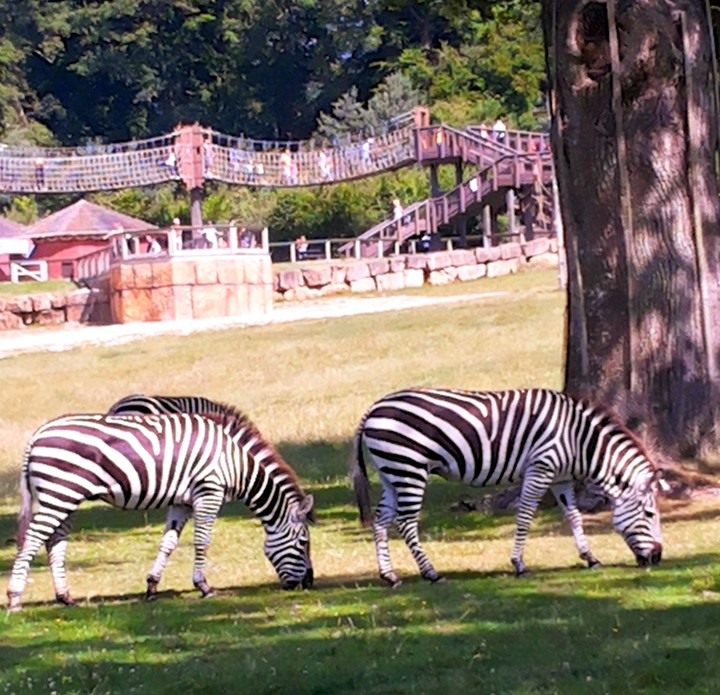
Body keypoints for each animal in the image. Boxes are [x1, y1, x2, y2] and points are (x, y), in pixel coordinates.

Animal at [7, 405, 314, 611]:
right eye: (303, 542)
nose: (308, 584)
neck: (235, 462)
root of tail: (37, 434)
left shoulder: (182, 501)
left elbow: (168, 543)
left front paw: (152, 585)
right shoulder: (209, 491)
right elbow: (202, 541)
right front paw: (203, 585)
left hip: (65, 497)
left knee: (55, 542)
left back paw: (65, 597)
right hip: (60, 493)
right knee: (32, 540)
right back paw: (14, 597)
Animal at [350, 387, 664, 587]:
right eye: (650, 515)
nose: (658, 559)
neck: (578, 440)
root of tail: (373, 408)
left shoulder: (560, 478)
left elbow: (574, 516)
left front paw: (590, 557)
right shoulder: (541, 468)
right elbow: (525, 515)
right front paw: (518, 564)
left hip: (392, 472)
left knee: (380, 520)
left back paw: (389, 576)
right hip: (409, 469)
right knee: (405, 522)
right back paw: (431, 573)